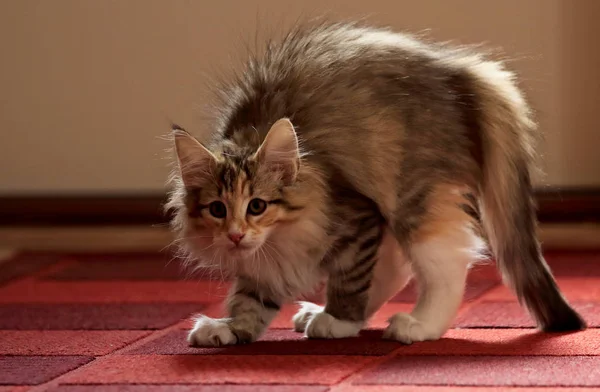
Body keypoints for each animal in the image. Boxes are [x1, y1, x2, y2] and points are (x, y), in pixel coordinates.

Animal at [165, 20, 584, 346]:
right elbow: (250, 301)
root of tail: (463, 71)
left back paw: (417, 325)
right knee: (396, 267)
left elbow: (350, 278)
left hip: (408, 191)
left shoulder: (356, 216)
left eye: (257, 206)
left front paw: (341, 319)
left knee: (444, 266)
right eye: (217, 209)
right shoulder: (262, 267)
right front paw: (230, 328)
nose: (235, 235)